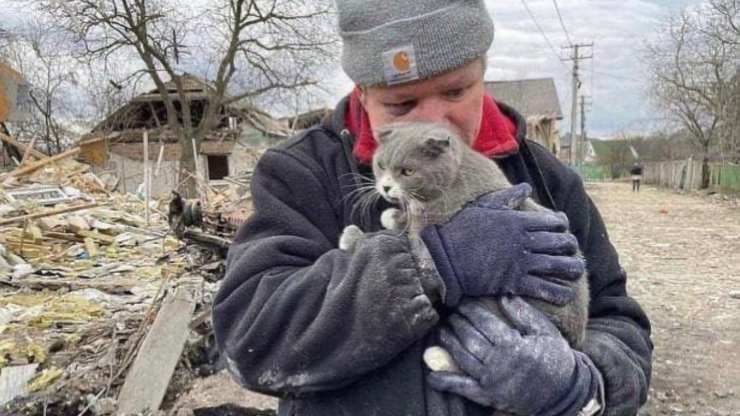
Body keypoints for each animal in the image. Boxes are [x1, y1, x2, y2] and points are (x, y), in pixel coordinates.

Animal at [342, 122, 588, 376]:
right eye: (381, 165)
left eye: (407, 172)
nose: (386, 187)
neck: (453, 177)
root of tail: (575, 334)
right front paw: (391, 217)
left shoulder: (432, 223)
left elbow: (409, 242)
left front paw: (353, 236)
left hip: (504, 302)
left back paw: (439, 358)